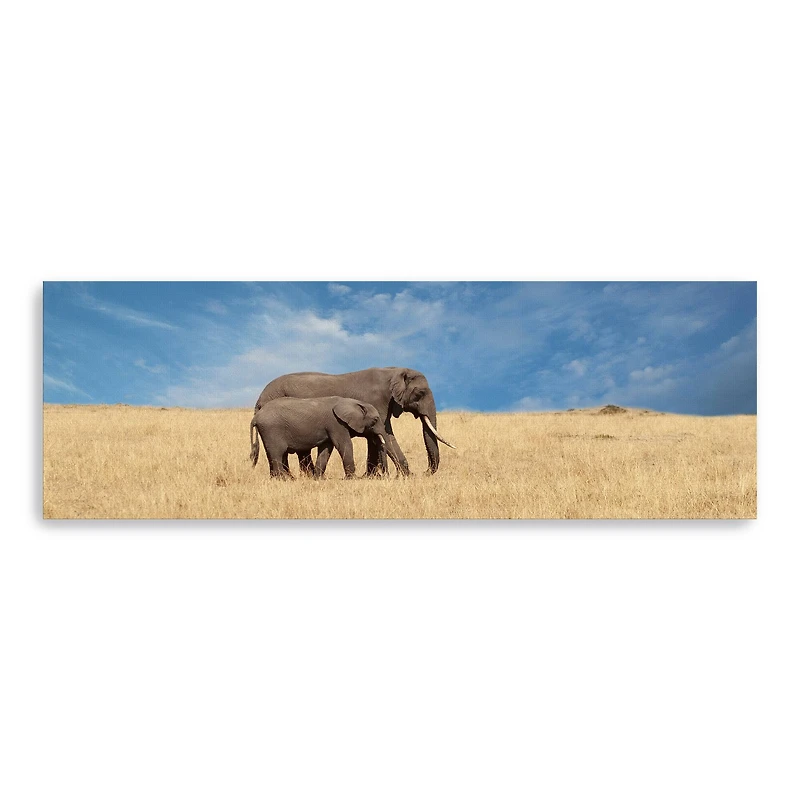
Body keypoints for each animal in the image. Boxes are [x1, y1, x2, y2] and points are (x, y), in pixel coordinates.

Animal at [249, 396, 397, 479]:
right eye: (375, 420)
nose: (385, 475)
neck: (352, 402)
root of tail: (256, 417)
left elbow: (326, 448)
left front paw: (319, 478)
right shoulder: (336, 423)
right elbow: (344, 445)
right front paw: (353, 478)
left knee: (274, 454)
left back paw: (282, 479)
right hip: (271, 429)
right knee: (277, 454)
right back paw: (283, 479)